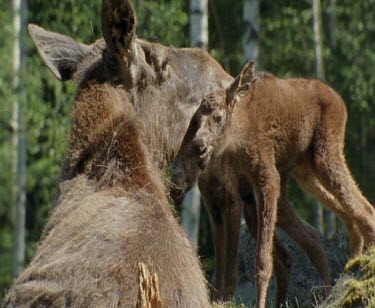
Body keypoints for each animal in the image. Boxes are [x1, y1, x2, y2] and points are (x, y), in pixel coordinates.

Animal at [172, 60, 375, 308]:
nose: (199, 146)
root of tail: (340, 101)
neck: (240, 134)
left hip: (325, 153)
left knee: (363, 209)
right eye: (197, 120)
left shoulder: (265, 179)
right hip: (306, 171)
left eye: (218, 117)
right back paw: (346, 272)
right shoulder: (242, 190)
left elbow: (262, 261)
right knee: (339, 220)